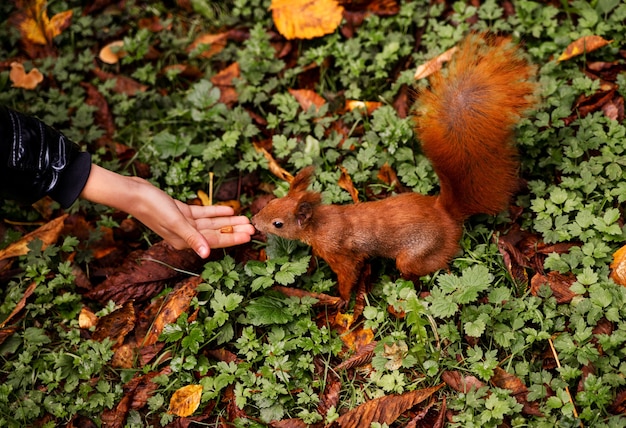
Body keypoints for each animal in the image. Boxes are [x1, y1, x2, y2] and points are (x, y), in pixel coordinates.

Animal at [251, 32, 532, 300]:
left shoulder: (340, 253)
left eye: (278, 223)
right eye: (271, 202)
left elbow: (348, 274)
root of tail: (446, 215)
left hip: (416, 254)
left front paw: (340, 299)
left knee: (437, 264)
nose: (254, 221)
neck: (320, 224)